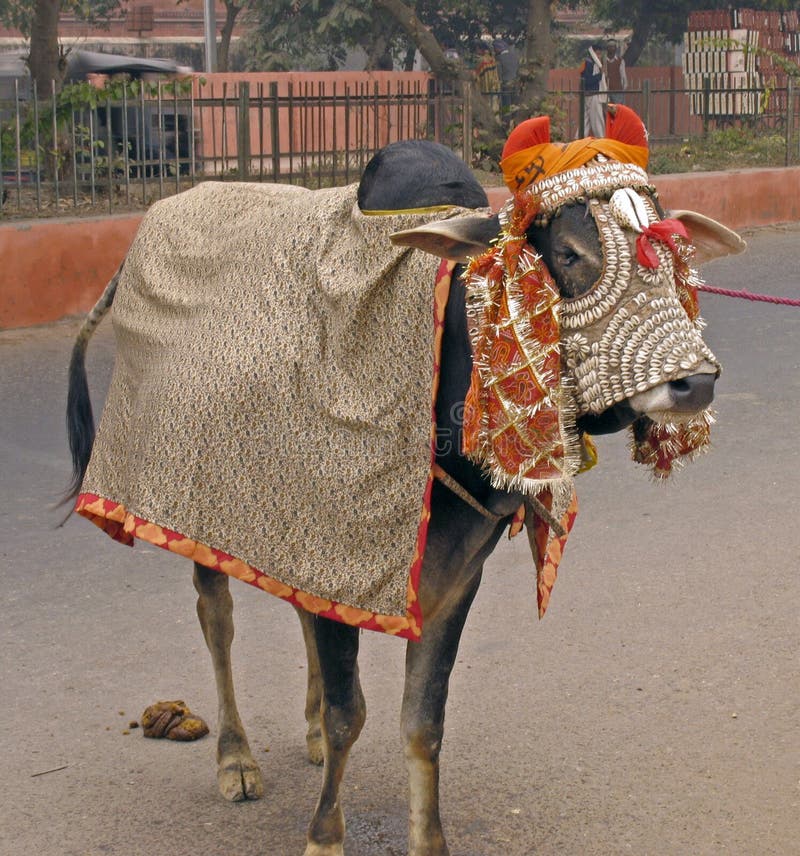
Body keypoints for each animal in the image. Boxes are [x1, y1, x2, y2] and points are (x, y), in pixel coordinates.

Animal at [67, 107, 744, 856]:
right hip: (196, 513)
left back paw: (302, 734)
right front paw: (324, 837)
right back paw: (236, 759)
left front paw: (427, 840)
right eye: (567, 255)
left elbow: (422, 722)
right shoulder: (338, 554)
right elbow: (350, 713)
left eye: (675, 253)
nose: (695, 383)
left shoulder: (444, 576)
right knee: (218, 621)